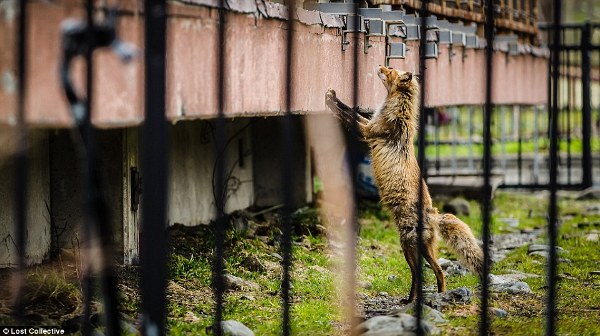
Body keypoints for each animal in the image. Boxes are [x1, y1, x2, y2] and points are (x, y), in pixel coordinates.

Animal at [326, 65, 486, 302]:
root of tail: (433, 214)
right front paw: (335, 98)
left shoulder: (368, 131)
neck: (400, 110)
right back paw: (433, 296)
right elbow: (351, 111)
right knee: (436, 272)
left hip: (407, 246)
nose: (379, 65)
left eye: (390, 70)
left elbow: (345, 115)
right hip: (422, 248)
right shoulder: (369, 125)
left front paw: (330, 101)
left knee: (424, 273)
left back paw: (418, 300)